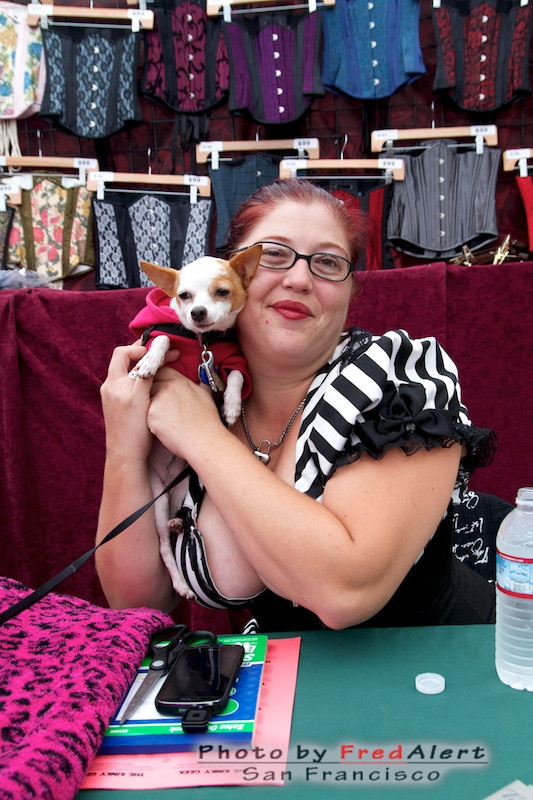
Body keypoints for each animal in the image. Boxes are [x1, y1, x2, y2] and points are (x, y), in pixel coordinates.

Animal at [129, 244, 262, 600]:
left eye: (222, 292)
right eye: (184, 296)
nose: (197, 313)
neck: (202, 343)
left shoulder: (232, 361)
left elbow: (236, 377)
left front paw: (230, 406)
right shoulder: (163, 338)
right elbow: (162, 341)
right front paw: (149, 363)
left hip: (184, 486)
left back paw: (178, 524)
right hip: (156, 499)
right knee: (163, 547)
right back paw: (179, 582)